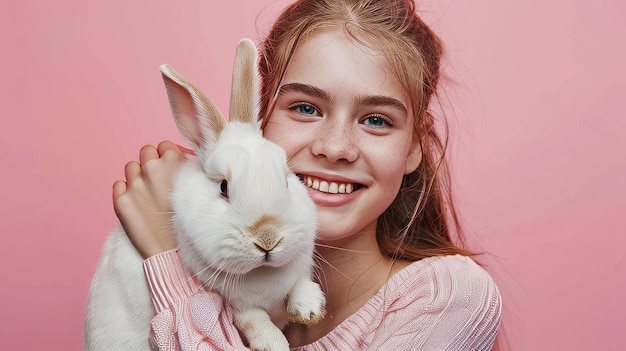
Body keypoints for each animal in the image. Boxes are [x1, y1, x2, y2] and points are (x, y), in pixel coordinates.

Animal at [84, 38, 324, 351]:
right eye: (223, 188)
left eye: (286, 180)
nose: (267, 237)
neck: (262, 272)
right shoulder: (237, 306)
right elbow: (254, 320)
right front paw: (274, 344)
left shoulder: (300, 267)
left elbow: (301, 284)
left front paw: (309, 309)